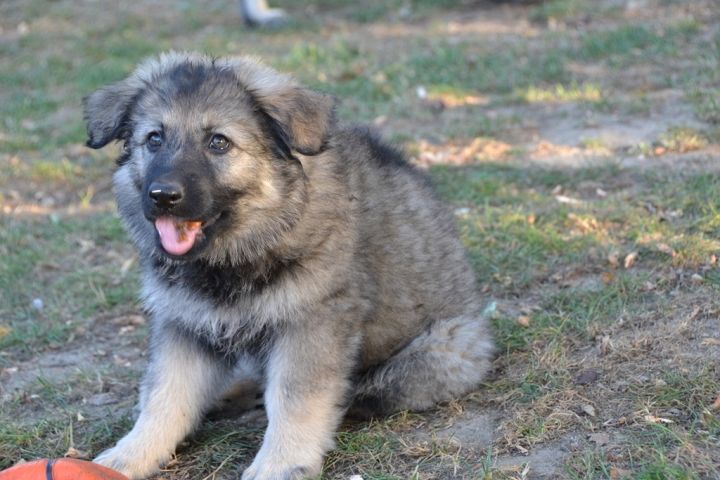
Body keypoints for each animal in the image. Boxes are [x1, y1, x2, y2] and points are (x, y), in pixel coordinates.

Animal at [84, 52, 494, 480]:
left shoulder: (311, 323)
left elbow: (294, 399)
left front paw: (280, 463)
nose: (163, 195)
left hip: (443, 349)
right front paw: (130, 455)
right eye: (154, 139)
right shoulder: (184, 322)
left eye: (218, 142)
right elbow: (165, 395)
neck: (234, 255)